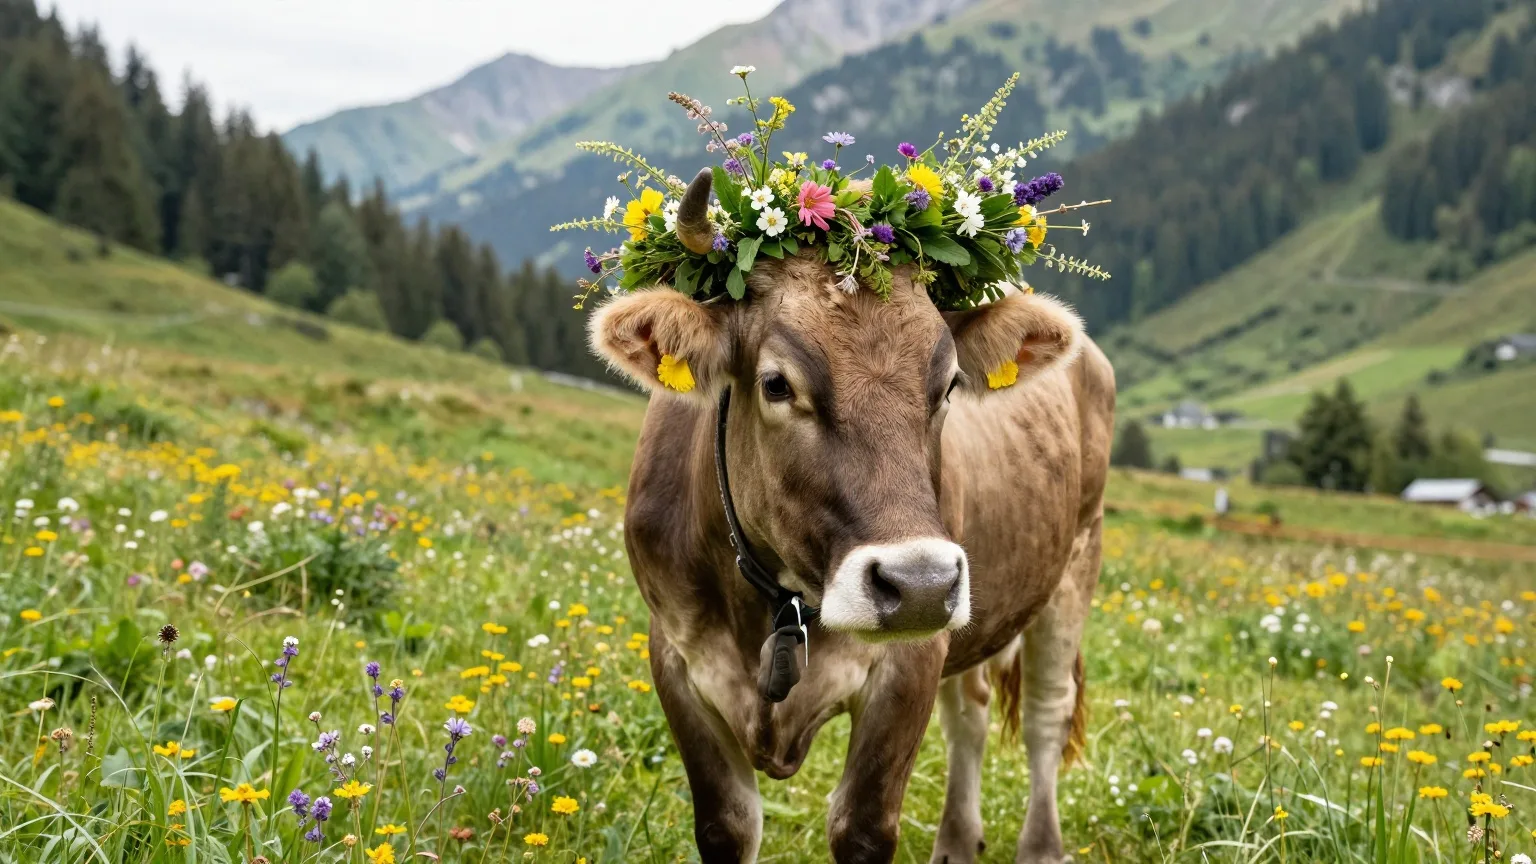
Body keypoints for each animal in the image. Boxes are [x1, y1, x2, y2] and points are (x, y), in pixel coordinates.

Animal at [589, 170, 1114, 864]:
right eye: (776, 384)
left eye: (949, 386)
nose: (919, 584)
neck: (774, 606)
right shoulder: (675, 656)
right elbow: (727, 826)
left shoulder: (911, 664)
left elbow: (862, 828)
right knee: (970, 711)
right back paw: (956, 839)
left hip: (1073, 563)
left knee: (1045, 715)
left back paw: (1040, 845)